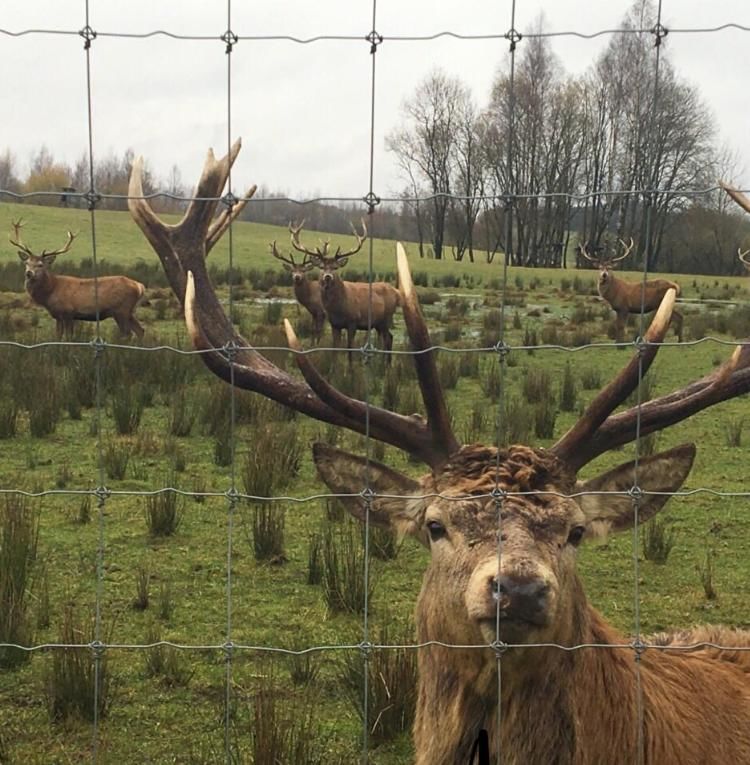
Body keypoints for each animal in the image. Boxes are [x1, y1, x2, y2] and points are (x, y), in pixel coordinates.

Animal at [10, 218, 148, 338]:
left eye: (40, 264)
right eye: (27, 262)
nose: (29, 273)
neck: (51, 291)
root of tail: (140, 286)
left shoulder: (68, 312)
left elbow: (69, 337)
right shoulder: (58, 315)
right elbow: (58, 337)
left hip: (121, 310)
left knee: (127, 334)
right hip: (130, 311)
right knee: (140, 330)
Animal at [290, 218, 402, 362]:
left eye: (335, 267)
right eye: (321, 267)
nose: (327, 276)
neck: (339, 308)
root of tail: (397, 292)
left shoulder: (353, 321)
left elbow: (349, 349)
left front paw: (350, 367)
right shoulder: (334, 324)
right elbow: (335, 349)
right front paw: (334, 367)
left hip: (387, 317)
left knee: (389, 338)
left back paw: (386, 365)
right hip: (379, 323)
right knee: (387, 338)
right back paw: (382, 363)